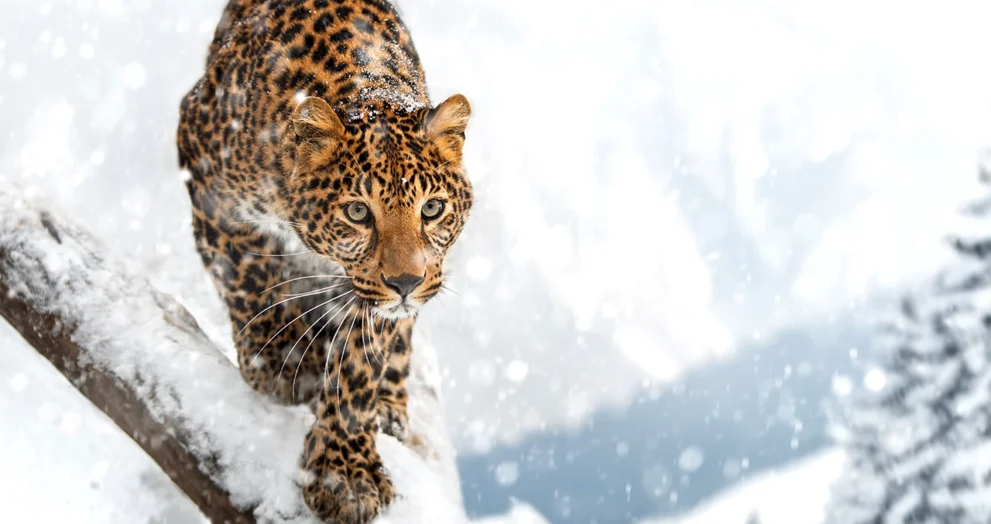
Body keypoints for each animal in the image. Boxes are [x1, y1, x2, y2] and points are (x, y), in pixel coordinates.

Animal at [175, 0, 472, 521]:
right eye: (357, 212)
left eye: (432, 209)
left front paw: (345, 473)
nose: (406, 282)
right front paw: (279, 358)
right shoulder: (205, 170)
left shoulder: (373, 296)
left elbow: (359, 367)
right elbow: (248, 273)